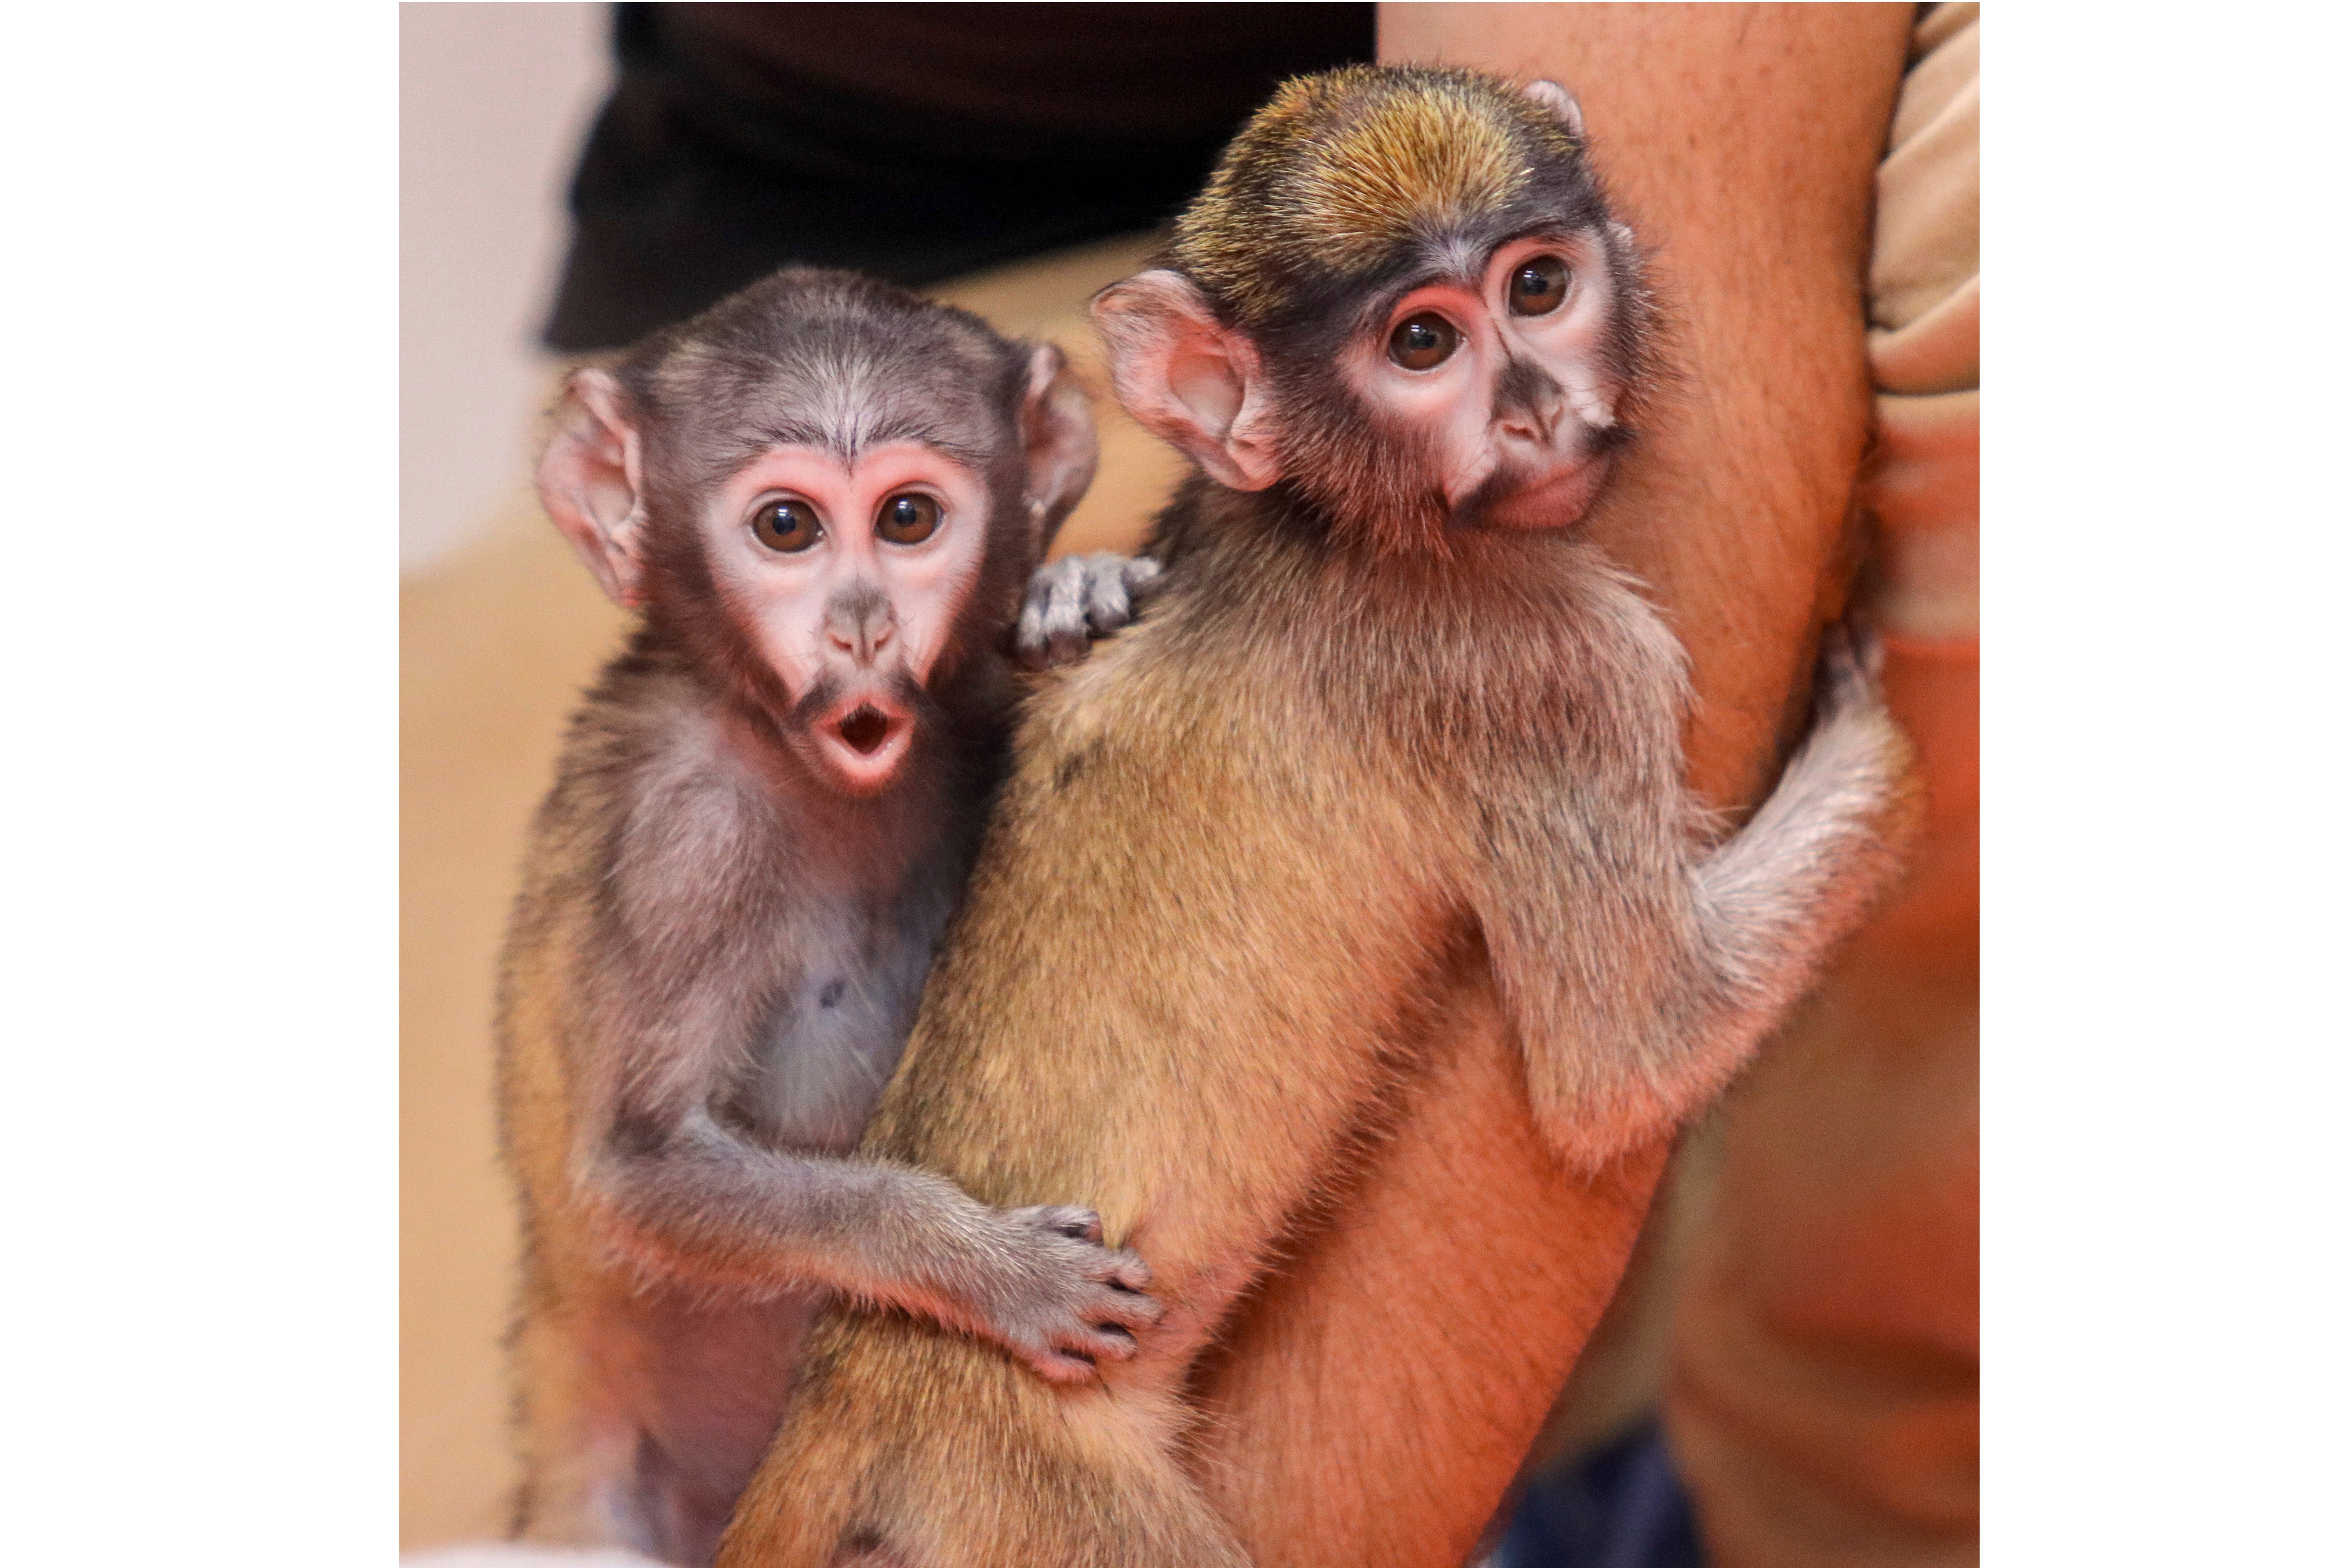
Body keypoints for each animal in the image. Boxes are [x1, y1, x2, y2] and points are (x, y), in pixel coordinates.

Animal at [495, 267, 1172, 1568]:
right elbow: (640, 1166)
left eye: (907, 519)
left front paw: (1073, 584)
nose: (860, 625)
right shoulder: (686, 839)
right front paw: (989, 1270)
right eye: (786, 529)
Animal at [716, 66, 1920, 1568]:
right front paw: (1881, 716)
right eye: (1422, 342)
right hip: (1011, 1486)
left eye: (1538, 286)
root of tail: (851, 1379)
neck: (1331, 523)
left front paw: (1078, 599)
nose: (1535, 413)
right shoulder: (1544, 669)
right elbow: (1631, 1059)